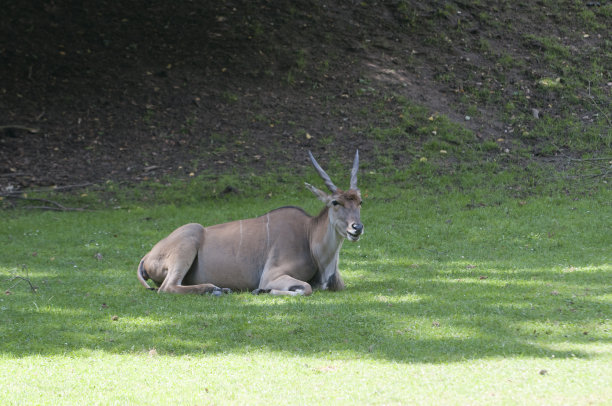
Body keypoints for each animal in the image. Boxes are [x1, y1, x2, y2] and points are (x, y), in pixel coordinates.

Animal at [137, 151, 364, 296]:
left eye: (360, 202)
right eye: (335, 202)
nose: (357, 228)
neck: (309, 236)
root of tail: (148, 256)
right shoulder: (271, 275)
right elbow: (305, 289)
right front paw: (263, 290)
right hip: (188, 239)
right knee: (168, 287)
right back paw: (213, 289)